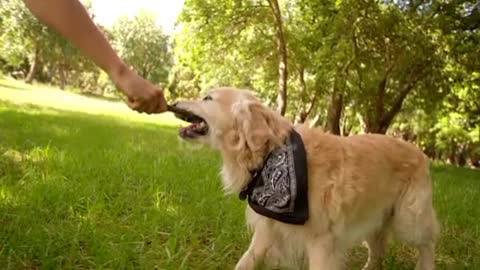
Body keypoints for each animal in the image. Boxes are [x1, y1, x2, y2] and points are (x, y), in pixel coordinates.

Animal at [172, 87, 438, 268]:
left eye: (207, 98)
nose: (173, 102)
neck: (270, 154)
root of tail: (420, 152)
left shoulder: (322, 241)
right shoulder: (268, 230)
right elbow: (245, 261)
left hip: (409, 218)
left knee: (427, 244)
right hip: (374, 219)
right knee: (378, 251)